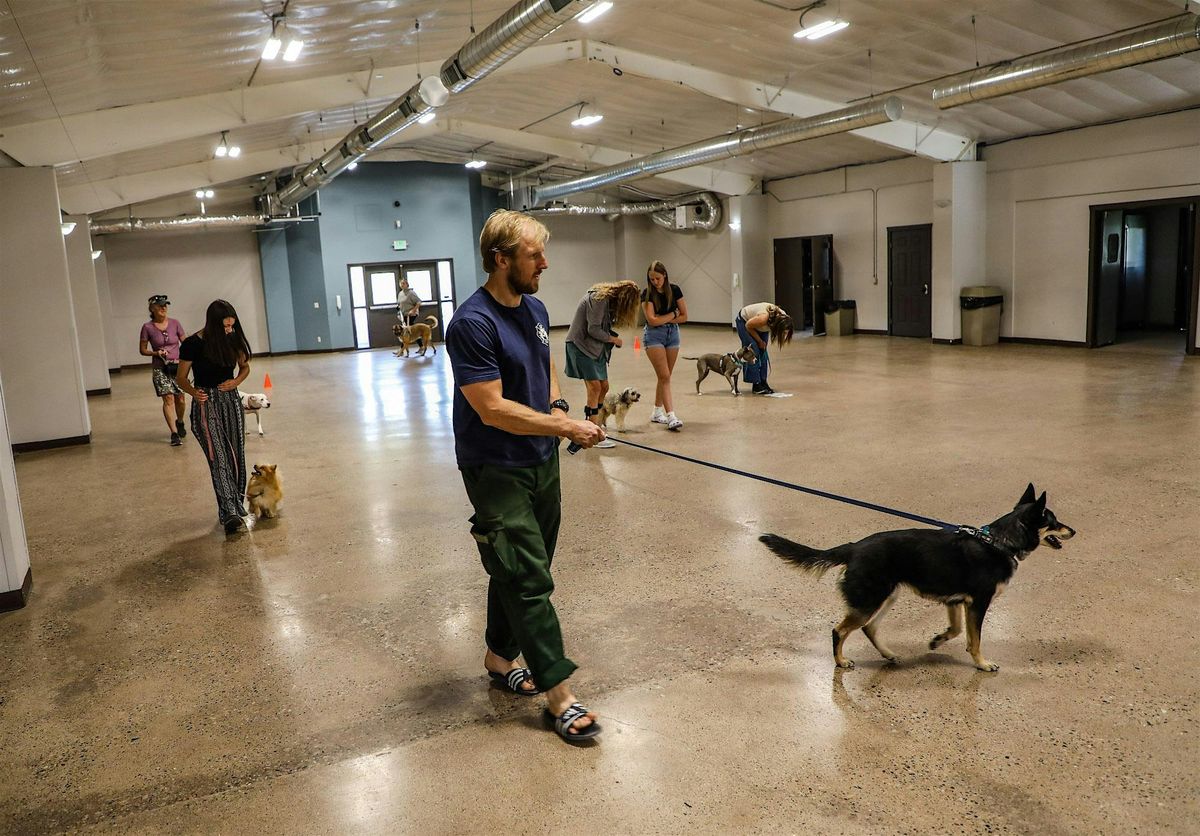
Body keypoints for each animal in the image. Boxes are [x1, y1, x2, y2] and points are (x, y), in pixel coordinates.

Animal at [758, 482, 1080, 671]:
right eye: (1054, 521)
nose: (1074, 530)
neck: (998, 541)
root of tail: (853, 547)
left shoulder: (956, 601)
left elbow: (957, 630)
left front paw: (937, 641)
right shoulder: (978, 603)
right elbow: (974, 639)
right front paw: (982, 663)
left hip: (887, 596)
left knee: (869, 628)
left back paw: (889, 654)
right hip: (869, 600)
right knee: (839, 630)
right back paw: (841, 661)